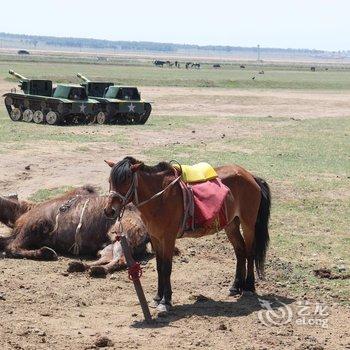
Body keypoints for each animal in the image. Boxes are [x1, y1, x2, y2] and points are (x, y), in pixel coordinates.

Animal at [0, 186, 150, 276]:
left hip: (121, 235)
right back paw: (79, 266)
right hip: (110, 244)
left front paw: (47, 252)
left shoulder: (32, 227)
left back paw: (96, 270)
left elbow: (12, 248)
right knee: (105, 257)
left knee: (121, 259)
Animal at [104, 156, 270, 312]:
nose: (109, 211)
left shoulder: (168, 238)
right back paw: (236, 286)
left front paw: (166, 301)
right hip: (231, 225)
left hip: (248, 225)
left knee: (250, 252)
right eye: (110, 181)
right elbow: (159, 267)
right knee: (240, 251)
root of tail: (251, 176)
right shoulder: (155, 238)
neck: (159, 197)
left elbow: (166, 268)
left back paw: (249, 287)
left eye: (125, 181)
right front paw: (157, 298)